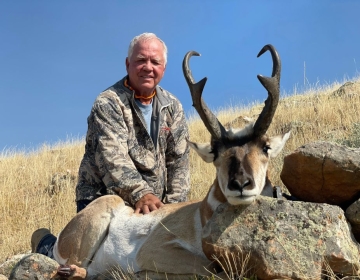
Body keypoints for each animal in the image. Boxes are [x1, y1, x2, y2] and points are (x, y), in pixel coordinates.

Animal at [53, 44, 290, 278]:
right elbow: (213, 268)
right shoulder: (154, 250)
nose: (240, 184)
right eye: (215, 152)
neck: (199, 214)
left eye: (265, 147)